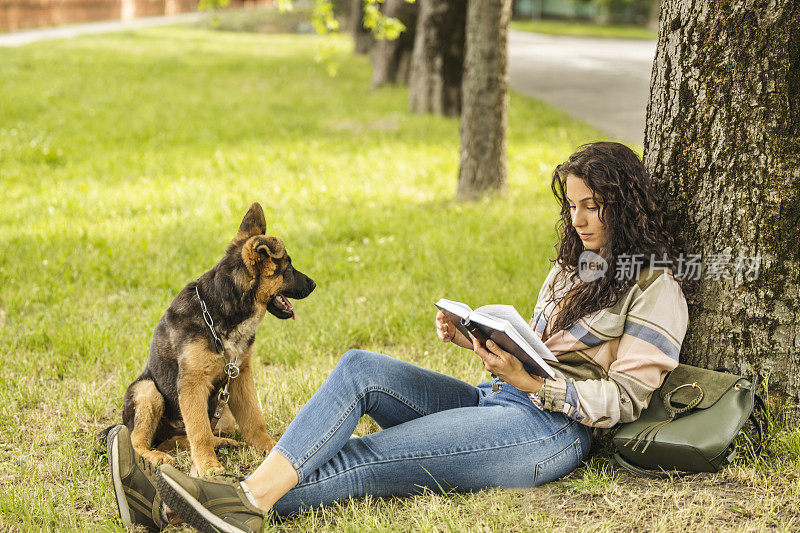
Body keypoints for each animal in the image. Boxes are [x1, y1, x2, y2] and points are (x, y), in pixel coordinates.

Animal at [120, 203, 314, 474]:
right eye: (287, 269)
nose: (314, 284)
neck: (219, 311)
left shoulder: (240, 376)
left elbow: (254, 419)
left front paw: (271, 448)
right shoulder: (192, 384)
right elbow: (199, 431)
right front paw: (208, 467)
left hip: (225, 414)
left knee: (180, 438)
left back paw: (221, 442)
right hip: (147, 391)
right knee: (140, 440)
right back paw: (156, 456)